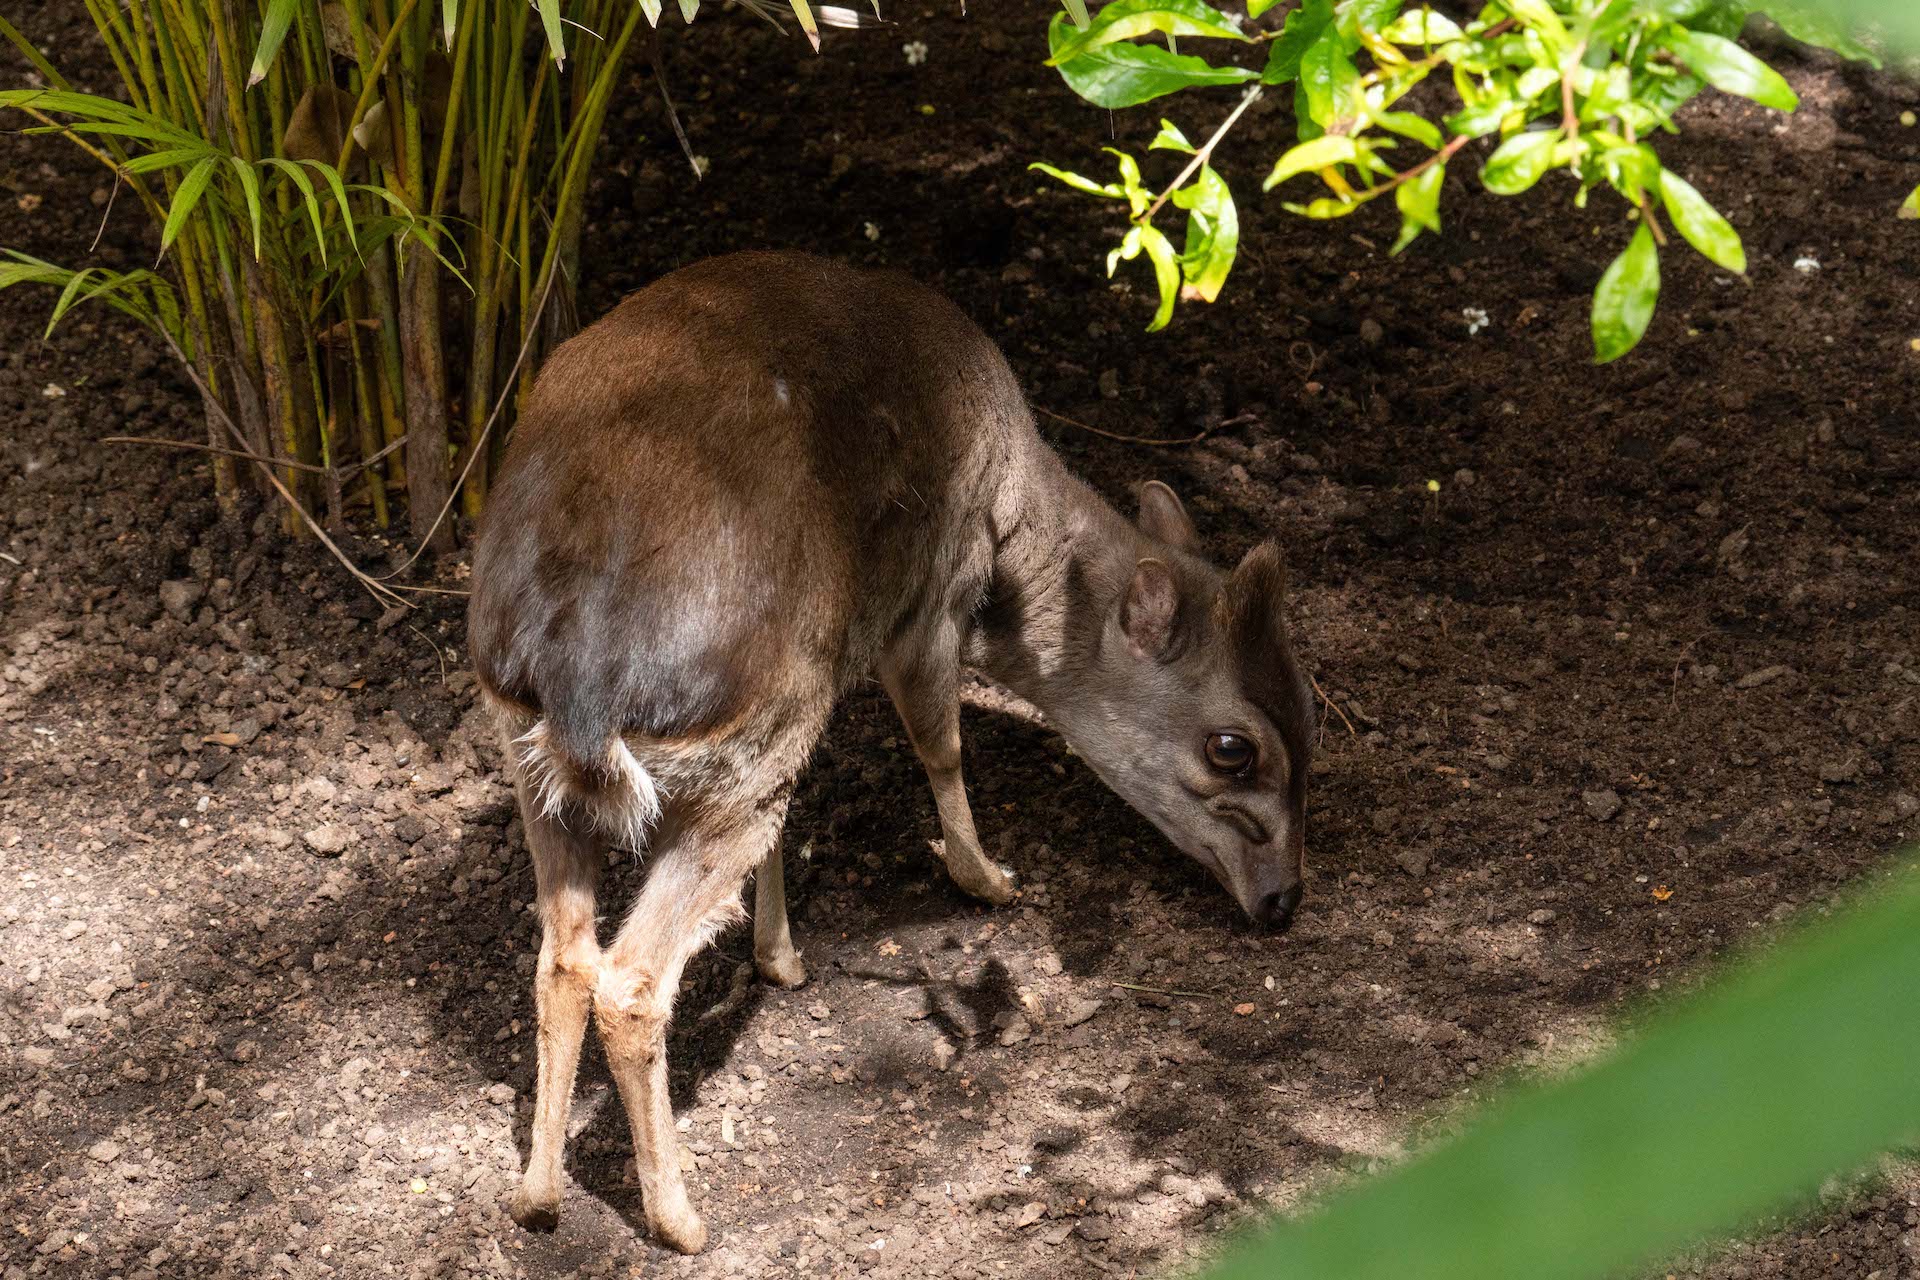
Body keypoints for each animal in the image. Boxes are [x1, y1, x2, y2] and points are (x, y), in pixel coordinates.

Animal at [466, 249, 1313, 1251]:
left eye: (1312, 709)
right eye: (1233, 748)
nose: (1284, 901)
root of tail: (580, 682)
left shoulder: (824, 682)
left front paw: (782, 957)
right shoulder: (927, 598)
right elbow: (941, 743)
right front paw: (989, 878)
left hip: (545, 759)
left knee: (564, 958)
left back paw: (538, 1199)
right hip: (739, 744)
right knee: (629, 980)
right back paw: (681, 1219)